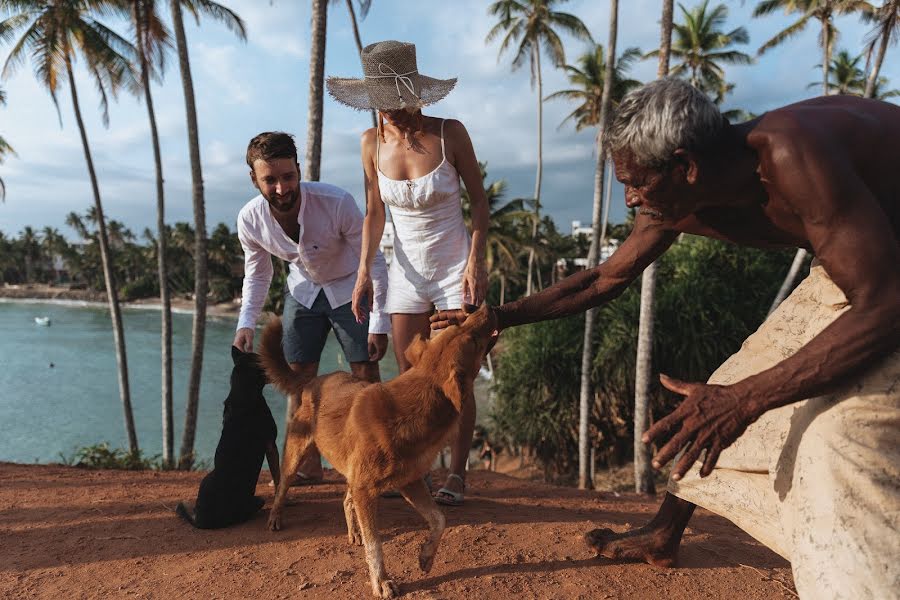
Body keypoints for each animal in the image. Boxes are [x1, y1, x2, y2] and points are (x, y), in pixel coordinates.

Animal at [258, 308, 500, 596]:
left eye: (458, 326)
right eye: (471, 338)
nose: (485, 308)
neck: (412, 410)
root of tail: (315, 379)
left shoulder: (409, 481)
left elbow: (440, 519)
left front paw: (427, 557)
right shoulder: (368, 488)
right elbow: (376, 546)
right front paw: (381, 581)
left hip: (352, 470)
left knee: (346, 500)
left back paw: (354, 532)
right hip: (297, 454)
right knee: (282, 487)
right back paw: (275, 517)